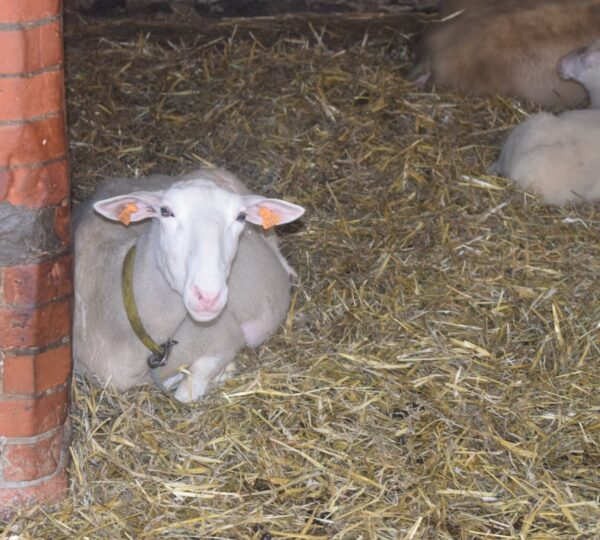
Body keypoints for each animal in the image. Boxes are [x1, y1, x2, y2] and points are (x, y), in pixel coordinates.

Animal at [73, 168, 304, 400]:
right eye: (165, 211)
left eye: (241, 217)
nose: (208, 297)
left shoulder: (228, 336)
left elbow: (186, 392)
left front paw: (224, 372)